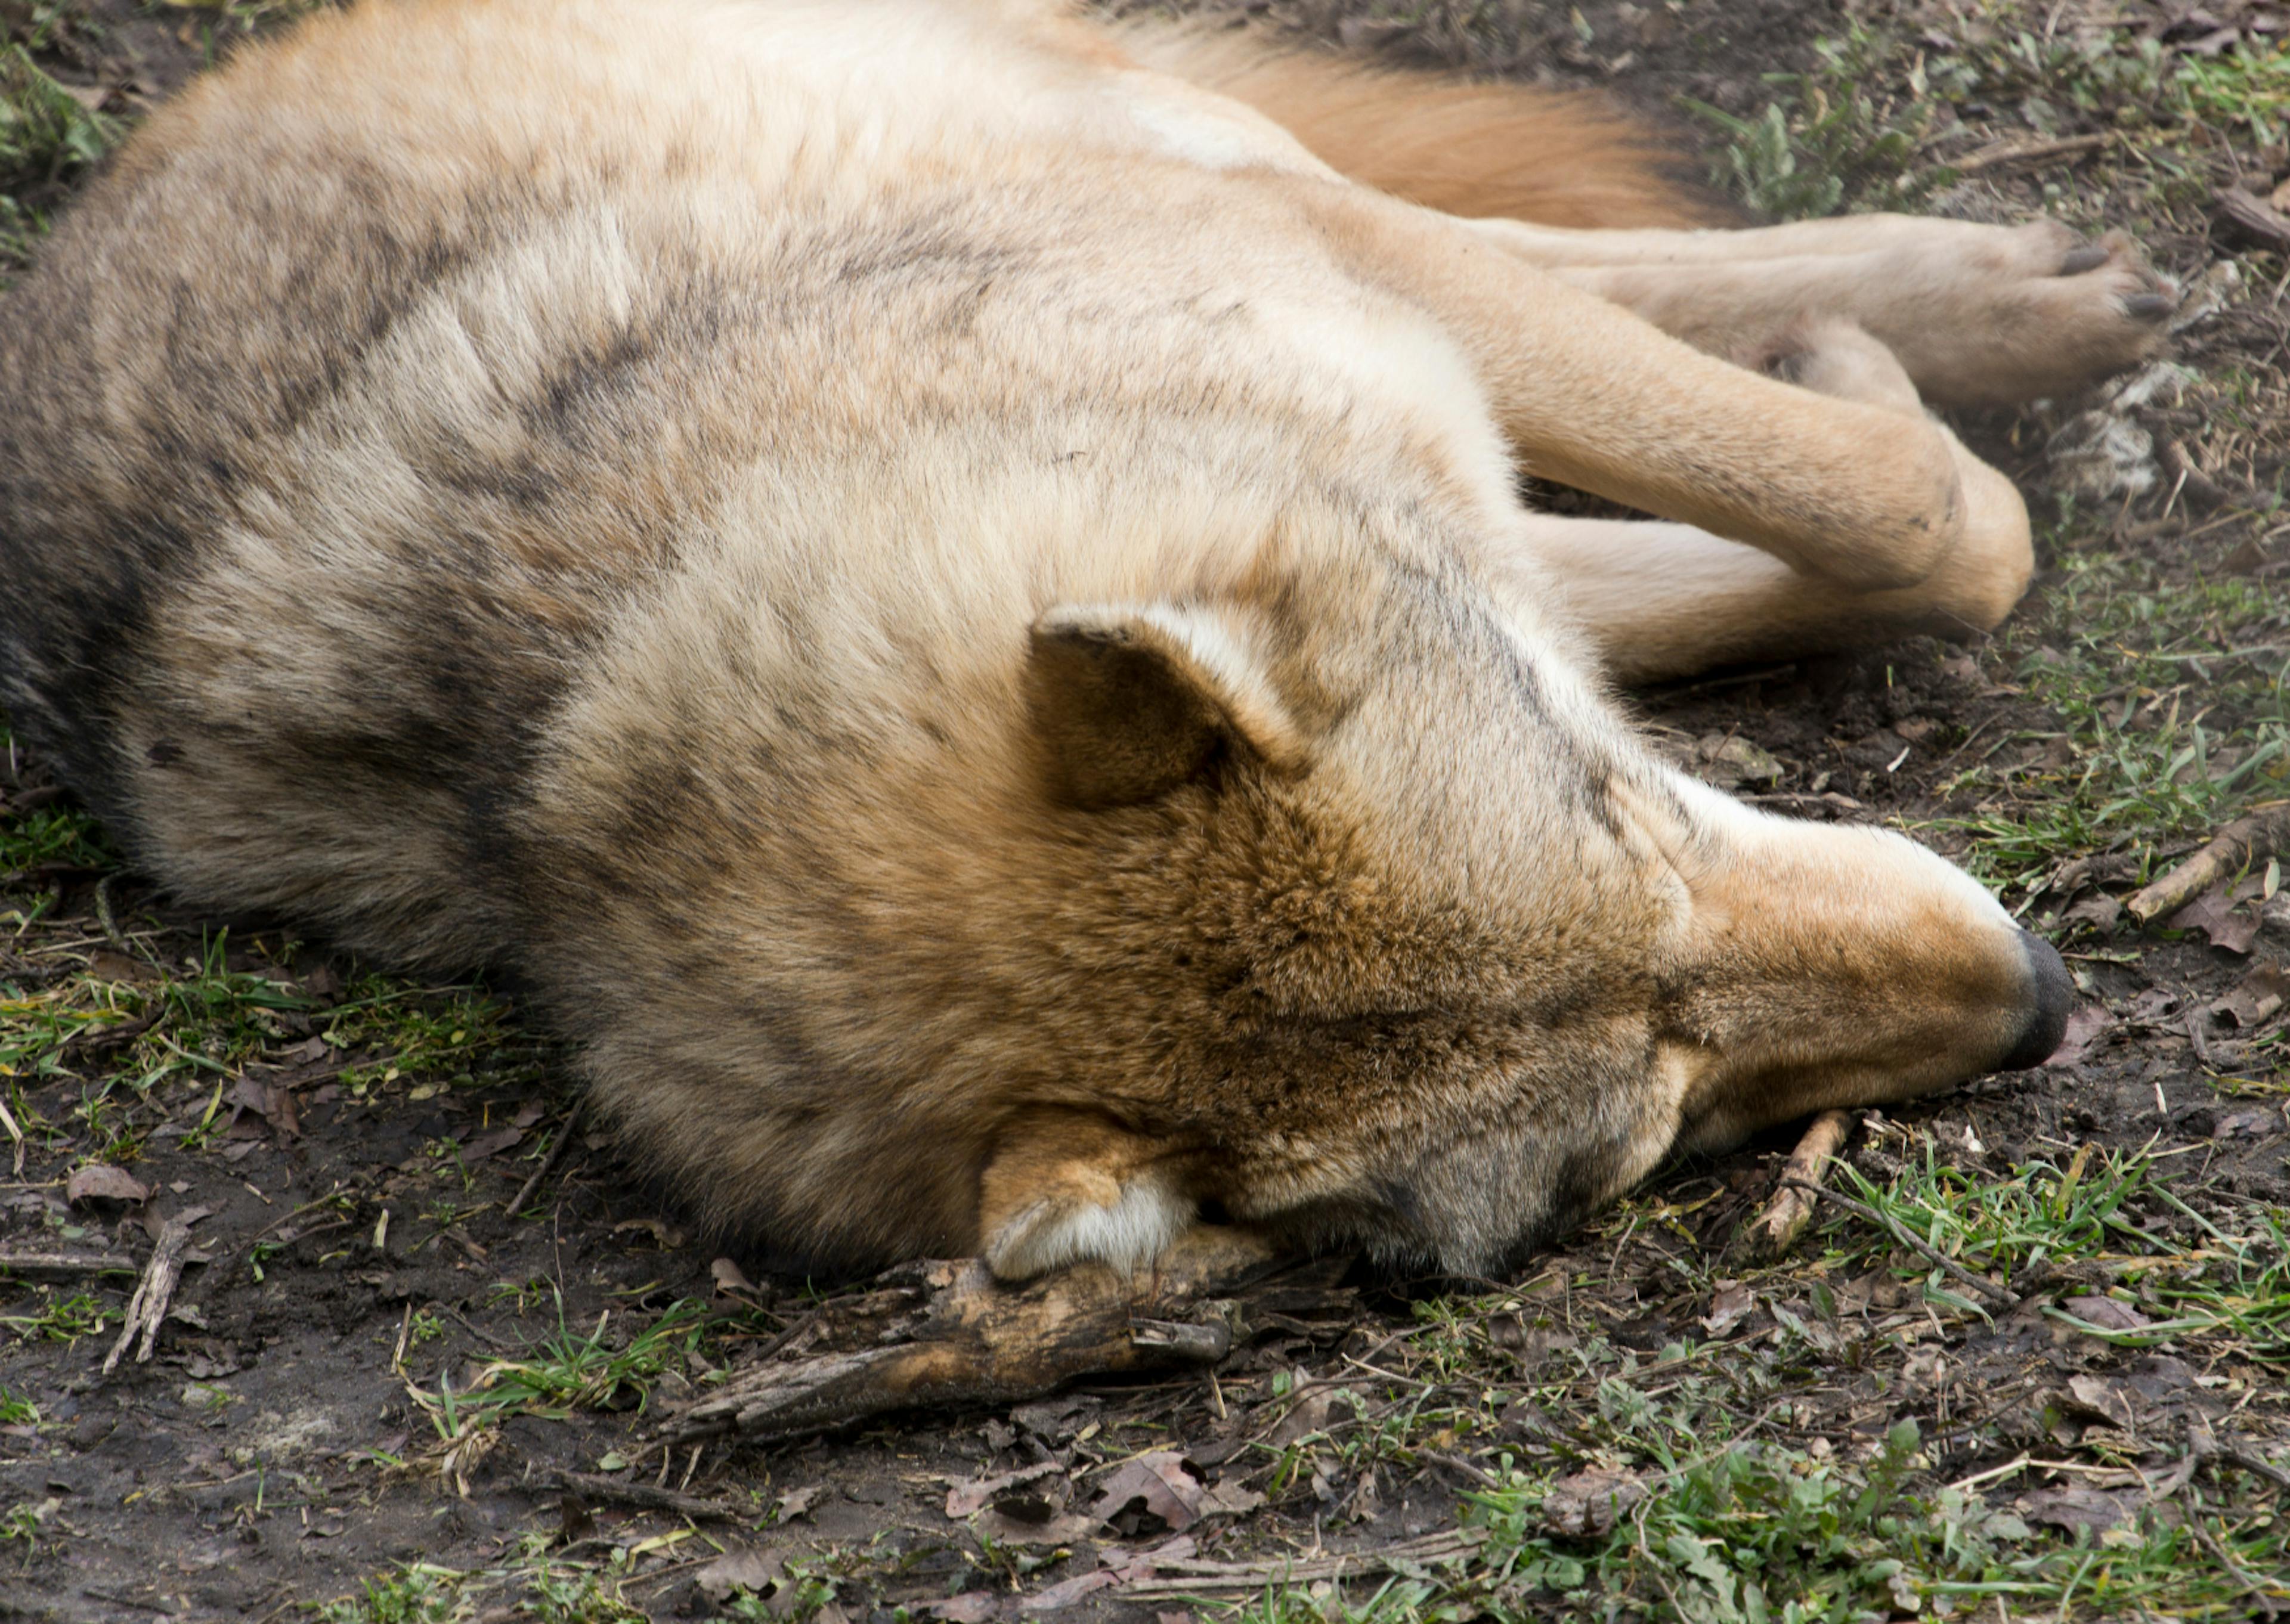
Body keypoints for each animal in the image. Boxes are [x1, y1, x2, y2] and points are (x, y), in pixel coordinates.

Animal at [0, 0, 2161, 1282]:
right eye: (1644, 1125)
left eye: (1627, 818)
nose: (2041, 996)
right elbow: (1884, 537)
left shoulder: (1350, 306)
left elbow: (1913, 510)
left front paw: (1901, 363)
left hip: (1179, 140)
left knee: (1559, 240)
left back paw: (2010, 290)